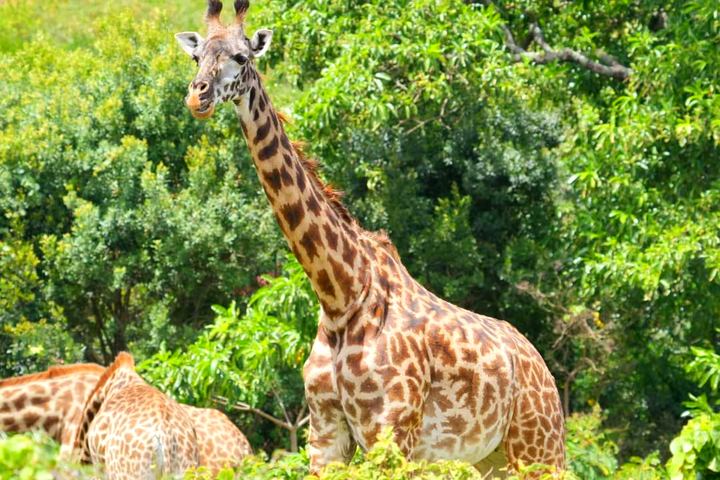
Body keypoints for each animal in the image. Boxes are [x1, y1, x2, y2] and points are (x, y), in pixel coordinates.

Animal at [175, 1, 566, 476]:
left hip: (540, 446)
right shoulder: (325, 436)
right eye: (197, 57)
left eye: (241, 57)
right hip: (491, 457)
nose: (197, 96)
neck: (341, 295)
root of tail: (541, 368)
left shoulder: (393, 434)